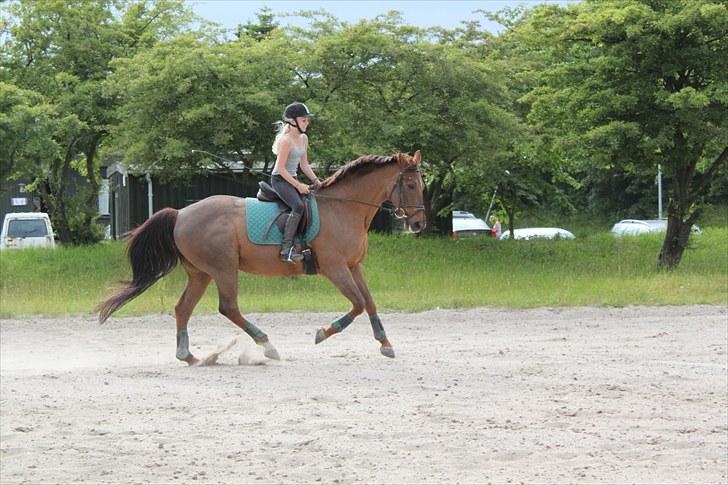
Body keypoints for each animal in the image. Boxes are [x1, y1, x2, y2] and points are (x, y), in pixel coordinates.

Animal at [96, 150, 426, 364]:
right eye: (410, 185)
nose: (419, 224)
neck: (344, 208)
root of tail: (180, 213)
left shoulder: (353, 266)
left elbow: (369, 302)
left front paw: (385, 343)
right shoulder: (335, 268)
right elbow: (357, 304)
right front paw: (322, 333)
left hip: (201, 273)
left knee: (183, 308)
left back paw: (189, 356)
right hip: (224, 268)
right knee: (228, 307)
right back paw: (267, 346)